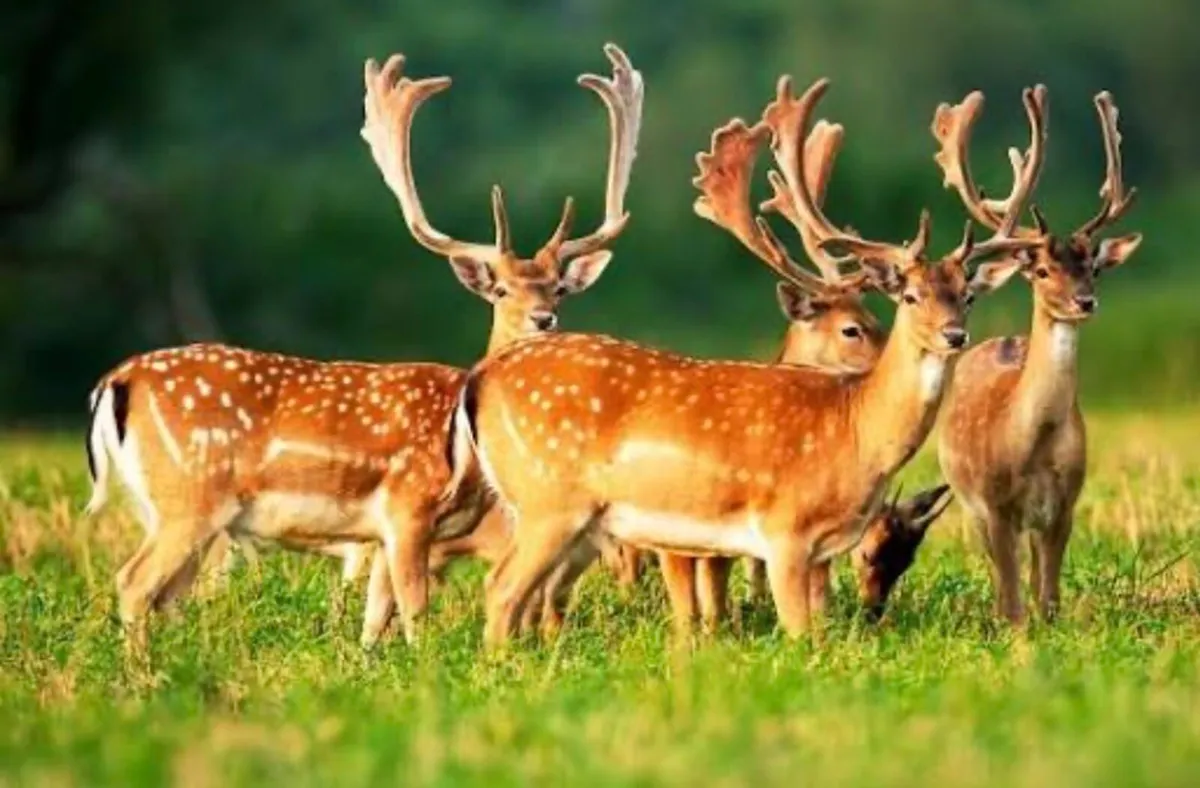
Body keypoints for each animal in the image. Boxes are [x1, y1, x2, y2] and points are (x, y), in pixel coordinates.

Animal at [82, 44, 643, 651]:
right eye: (499, 289)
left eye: (559, 287)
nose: (544, 318)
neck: (465, 447)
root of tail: (114, 382)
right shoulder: (408, 506)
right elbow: (416, 614)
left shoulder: (379, 535)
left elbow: (375, 622)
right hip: (190, 497)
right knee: (134, 582)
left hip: (166, 507)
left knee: (165, 594)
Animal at [447, 75, 1046, 647]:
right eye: (910, 296)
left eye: (966, 296)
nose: (954, 335)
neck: (854, 433)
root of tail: (480, 378)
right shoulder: (784, 532)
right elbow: (800, 634)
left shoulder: (817, 551)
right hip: (551, 498)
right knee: (500, 587)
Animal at [933, 86, 1141, 625]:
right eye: (1043, 270)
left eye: (1093, 267)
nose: (1085, 302)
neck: (1032, 442)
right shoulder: (993, 503)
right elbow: (1012, 600)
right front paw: (1013, 629)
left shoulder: (1066, 502)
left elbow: (1047, 594)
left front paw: (1049, 624)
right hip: (968, 502)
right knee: (996, 570)